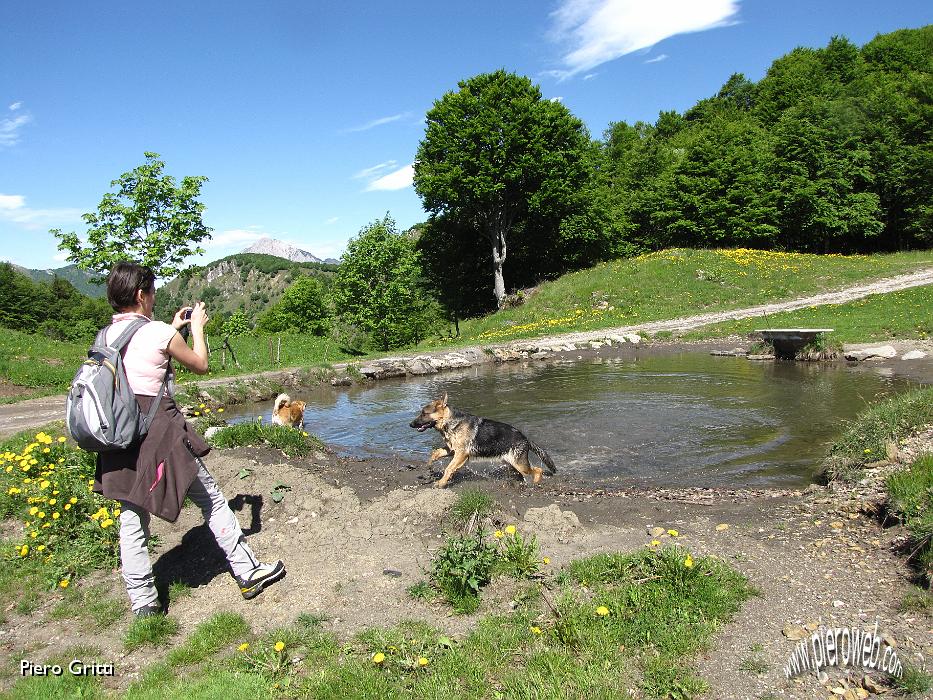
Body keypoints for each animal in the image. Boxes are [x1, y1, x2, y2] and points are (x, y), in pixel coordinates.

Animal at [408, 394, 552, 486]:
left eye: (424, 413)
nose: (410, 424)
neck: (451, 422)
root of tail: (525, 438)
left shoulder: (461, 454)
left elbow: (449, 468)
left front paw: (441, 483)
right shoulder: (451, 450)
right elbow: (435, 453)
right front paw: (429, 467)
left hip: (519, 464)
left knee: (537, 470)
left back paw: (535, 483)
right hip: (511, 463)